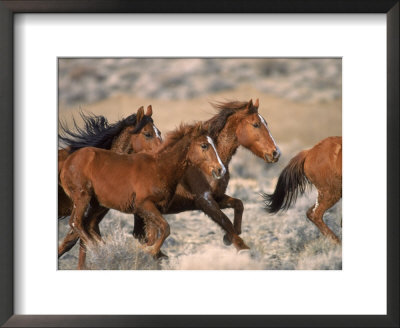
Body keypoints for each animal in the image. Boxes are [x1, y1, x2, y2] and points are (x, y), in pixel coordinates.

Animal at [60, 123, 227, 270]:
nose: (221, 170)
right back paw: (101, 250)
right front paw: (148, 251)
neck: (159, 168)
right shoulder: (144, 205)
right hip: (82, 197)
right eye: (204, 145)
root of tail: (67, 162)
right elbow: (165, 228)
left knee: (87, 225)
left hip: (97, 204)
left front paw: (149, 253)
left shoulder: (153, 210)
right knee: (76, 223)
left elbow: (155, 235)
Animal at [133, 98, 280, 250]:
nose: (276, 153)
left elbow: (238, 205)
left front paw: (228, 237)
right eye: (256, 124)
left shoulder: (217, 197)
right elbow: (227, 223)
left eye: (266, 123)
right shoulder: (204, 200)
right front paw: (240, 246)